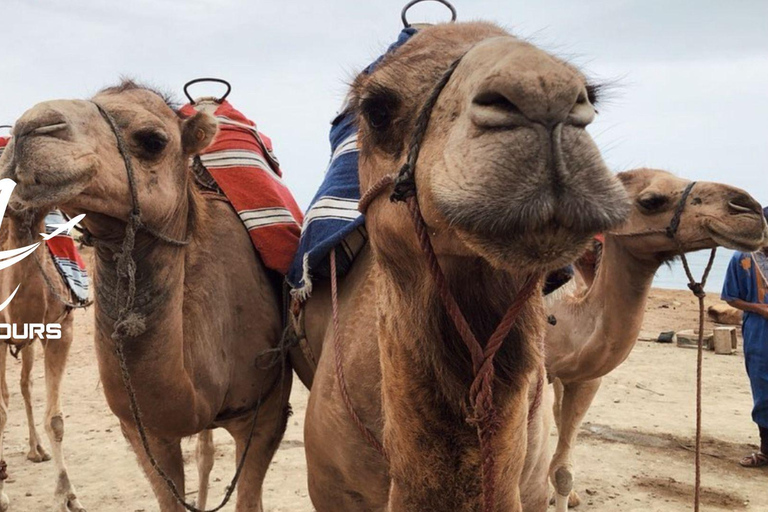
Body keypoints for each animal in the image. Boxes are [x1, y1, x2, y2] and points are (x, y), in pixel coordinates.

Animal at [0, 209, 84, 512]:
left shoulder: (60, 329)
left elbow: (56, 420)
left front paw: (68, 496)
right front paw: (0, 496)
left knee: (25, 384)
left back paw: (36, 450)